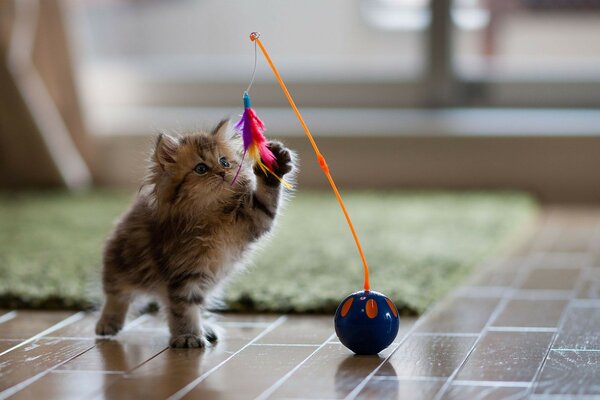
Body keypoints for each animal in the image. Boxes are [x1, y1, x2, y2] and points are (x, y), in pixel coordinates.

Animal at [96, 120, 296, 348]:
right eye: (201, 169)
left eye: (224, 162)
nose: (222, 172)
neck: (212, 215)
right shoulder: (183, 271)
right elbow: (184, 307)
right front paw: (188, 336)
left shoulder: (255, 218)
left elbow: (267, 198)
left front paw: (274, 166)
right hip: (121, 262)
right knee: (117, 294)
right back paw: (108, 323)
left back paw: (206, 328)